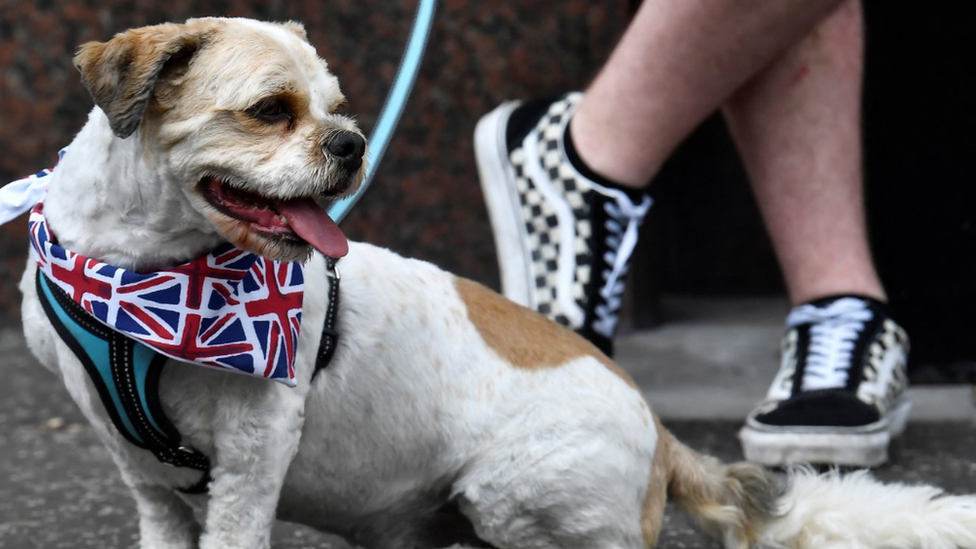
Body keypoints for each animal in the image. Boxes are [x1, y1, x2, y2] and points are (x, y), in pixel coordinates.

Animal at [15, 17, 976, 548]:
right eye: (269, 111)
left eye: (337, 108)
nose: (352, 143)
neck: (151, 285)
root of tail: (664, 436)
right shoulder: (142, 472)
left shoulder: (253, 455)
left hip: (513, 492)